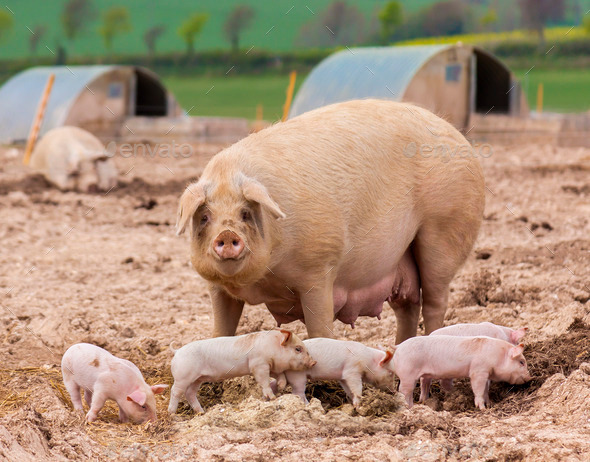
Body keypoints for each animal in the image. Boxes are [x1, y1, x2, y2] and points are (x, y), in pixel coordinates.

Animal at [168, 328, 314, 416]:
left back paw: (202, 412)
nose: (313, 362)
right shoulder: (258, 364)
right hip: (183, 376)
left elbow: (279, 375)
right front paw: (272, 398)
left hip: (197, 379)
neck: (273, 346)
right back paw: (172, 414)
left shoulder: (269, 366)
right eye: (298, 349)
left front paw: (281, 385)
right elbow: (264, 381)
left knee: (190, 393)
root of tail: (177, 351)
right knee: (176, 391)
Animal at [176, 99, 486, 344]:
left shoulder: (319, 267)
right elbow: (221, 330)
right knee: (409, 305)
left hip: (445, 229)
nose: (227, 234)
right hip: (401, 259)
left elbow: (320, 330)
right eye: (205, 216)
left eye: (245, 213)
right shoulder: (217, 287)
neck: (263, 279)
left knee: (434, 301)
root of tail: (460, 138)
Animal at [396, 336, 536, 408]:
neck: (498, 355)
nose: (530, 378)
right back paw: (408, 407)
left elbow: (485, 390)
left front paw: (489, 404)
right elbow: (478, 389)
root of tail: (398, 347)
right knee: (403, 391)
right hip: (407, 374)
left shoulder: (486, 374)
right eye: (521, 362)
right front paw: (482, 408)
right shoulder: (478, 370)